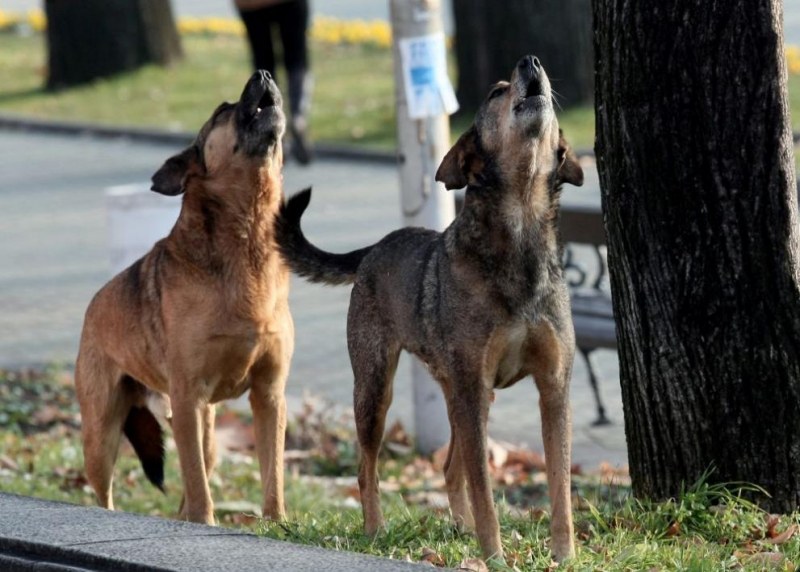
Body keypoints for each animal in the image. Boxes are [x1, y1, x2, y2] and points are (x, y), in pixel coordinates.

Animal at [74, 69, 294, 524]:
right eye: (223, 111)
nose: (264, 72)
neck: (247, 240)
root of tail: (92, 306)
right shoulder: (188, 399)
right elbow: (195, 483)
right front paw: (208, 523)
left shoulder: (269, 395)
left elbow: (272, 473)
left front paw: (278, 523)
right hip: (101, 433)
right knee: (107, 492)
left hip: (205, 431)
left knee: (197, 479)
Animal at [278, 55, 584, 560]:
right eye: (496, 92)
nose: (532, 61)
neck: (519, 238)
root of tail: (374, 248)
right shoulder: (473, 388)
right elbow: (484, 490)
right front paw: (494, 557)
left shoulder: (553, 387)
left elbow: (559, 484)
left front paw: (563, 555)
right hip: (377, 389)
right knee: (367, 468)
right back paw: (376, 530)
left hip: (464, 394)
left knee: (448, 467)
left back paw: (459, 528)